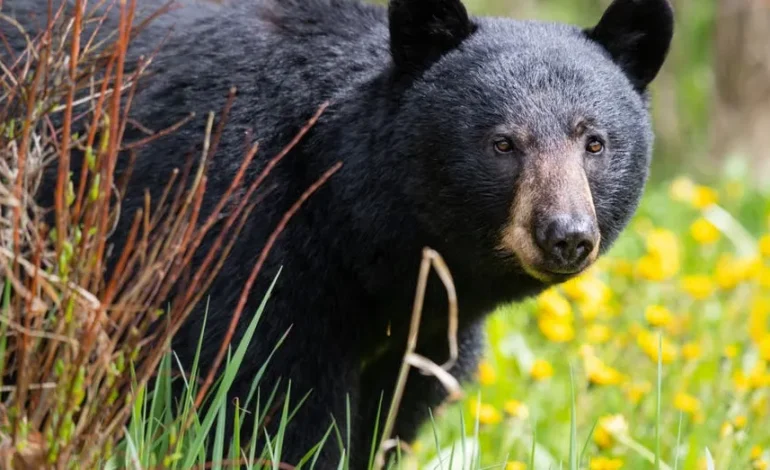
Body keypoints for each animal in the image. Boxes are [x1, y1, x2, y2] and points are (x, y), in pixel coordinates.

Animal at [5, 0, 674, 467]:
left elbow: (390, 419)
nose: (566, 235)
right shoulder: (246, 242)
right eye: (503, 143)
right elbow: (272, 406)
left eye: (594, 142)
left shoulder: (428, 331)